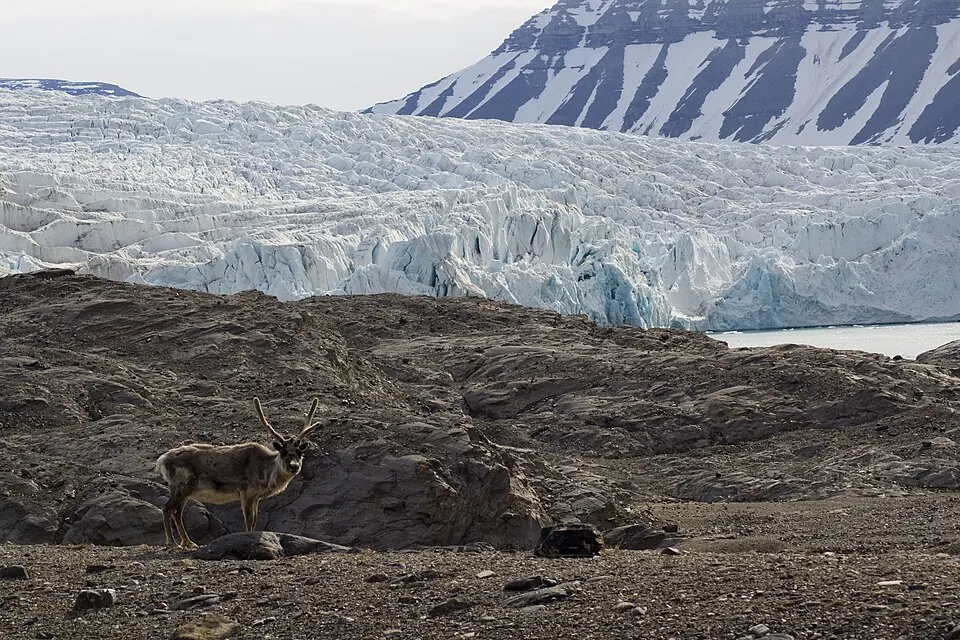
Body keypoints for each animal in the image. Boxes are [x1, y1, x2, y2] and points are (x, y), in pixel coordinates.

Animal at [155, 396, 324, 549]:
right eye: (283, 452)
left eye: (300, 453)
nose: (294, 466)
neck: (266, 472)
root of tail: (162, 459)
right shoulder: (247, 492)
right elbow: (249, 520)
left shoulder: (256, 497)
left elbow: (255, 520)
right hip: (181, 485)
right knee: (167, 508)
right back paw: (172, 543)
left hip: (186, 489)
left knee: (177, 512)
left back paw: (188, 542)